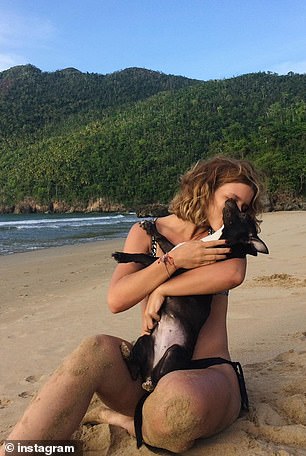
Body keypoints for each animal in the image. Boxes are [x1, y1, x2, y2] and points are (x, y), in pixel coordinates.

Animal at [112, 200, 268, 392]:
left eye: (244, 214)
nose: (231, 200)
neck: (217, 241)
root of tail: (149, 373)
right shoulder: (178, 251)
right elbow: (165, 241)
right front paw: (150, 227)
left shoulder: (177, 270)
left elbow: (146, 258)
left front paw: (123, 256)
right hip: (145, 340)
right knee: (134, 369)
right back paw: (128, 354)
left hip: (175, 352)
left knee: (158, 379)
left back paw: (148, 379)